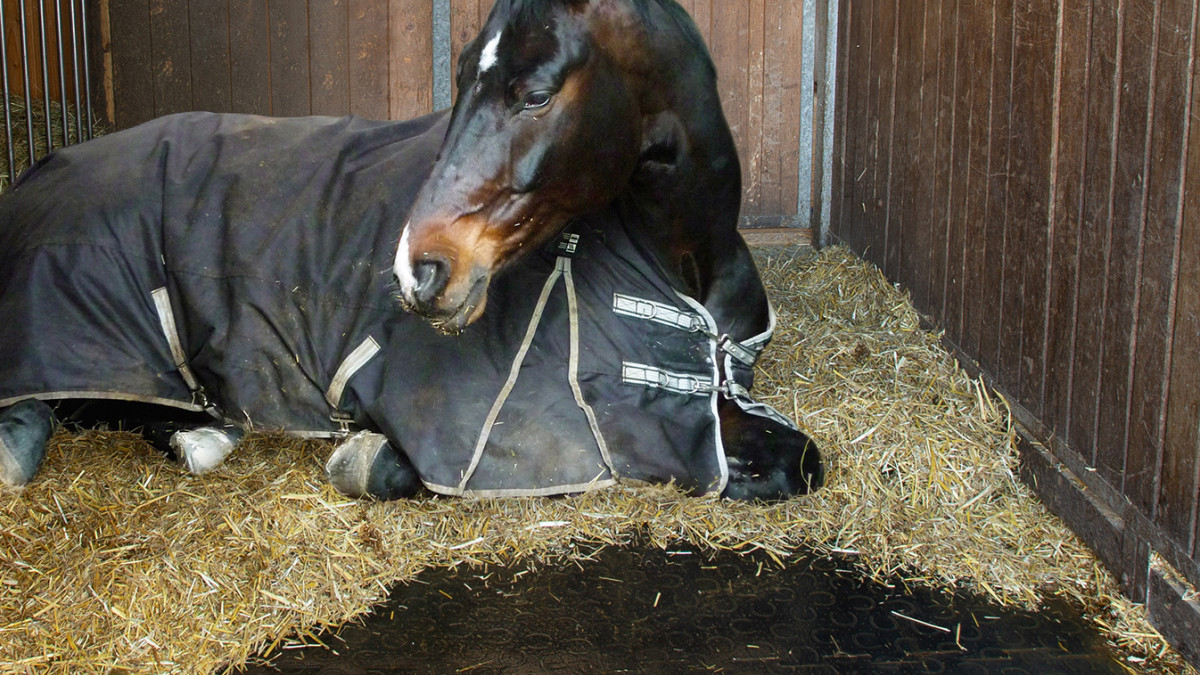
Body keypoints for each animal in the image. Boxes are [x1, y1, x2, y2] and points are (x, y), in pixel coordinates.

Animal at [0, 0, 822, 501]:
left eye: (535, 94)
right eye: (460, 78)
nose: (417, 269)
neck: (684, 266)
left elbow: (799, 459)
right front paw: (361, 455)